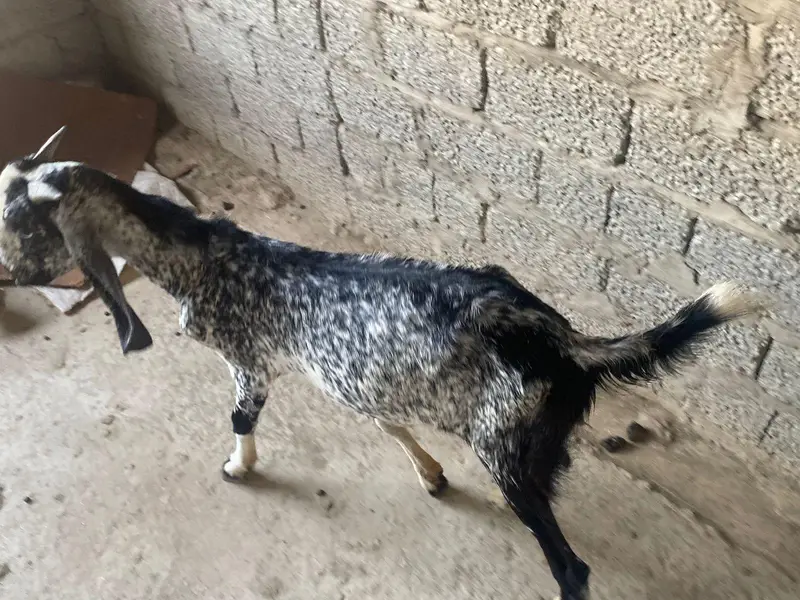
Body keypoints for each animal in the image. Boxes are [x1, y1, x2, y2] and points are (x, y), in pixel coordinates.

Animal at [0, 128, 759, 600]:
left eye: (18, 223)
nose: (8, 277)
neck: (202, 258)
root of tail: (561, 336)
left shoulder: (247, 359)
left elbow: (242, 416)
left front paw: (237, 468)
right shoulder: (353, 370)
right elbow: (383, 419)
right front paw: (429, 474)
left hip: (504, 446)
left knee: (570, 567)